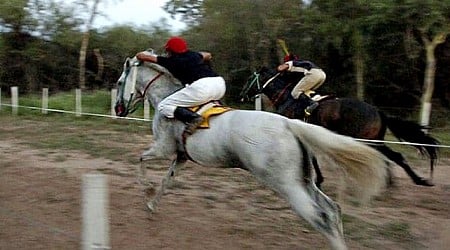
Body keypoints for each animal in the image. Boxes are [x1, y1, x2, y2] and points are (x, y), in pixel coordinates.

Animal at [113, 53, 390, 250]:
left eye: (119, 82)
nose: (118, 109)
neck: (169, 99)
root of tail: (290, 124)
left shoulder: (162, 148)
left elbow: (141, 160)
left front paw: (146, 191)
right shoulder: (180, 157)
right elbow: (165, 182)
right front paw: (151, 204)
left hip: (287, 185)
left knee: (319, 217)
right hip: (305, 180)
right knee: (332, 210)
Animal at [241, 67, 442, 187]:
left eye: (249, 79)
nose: (242, 95)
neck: (286, 98)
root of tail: (378, 111)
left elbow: (310, 157)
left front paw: (316, 180)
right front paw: (318, 179)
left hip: (367, 139)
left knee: (394, 157)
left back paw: (415, 181)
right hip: (374, 140)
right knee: (391, 157)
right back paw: (394, 183)